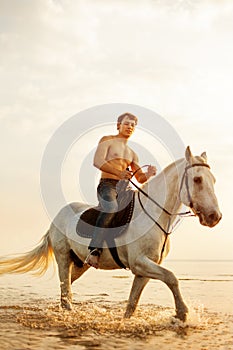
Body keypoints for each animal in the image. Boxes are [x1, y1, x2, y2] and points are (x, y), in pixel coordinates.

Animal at [0, 146, 222, 322]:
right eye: (197, 179)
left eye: (213, 180)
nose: (215, 217)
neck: (152, 215)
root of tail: (56, 218)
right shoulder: (139, 263)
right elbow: (172, 277)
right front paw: (183, 313)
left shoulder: (144, 269)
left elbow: (132, 303)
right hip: (63, 257)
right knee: (66, 293)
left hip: (80, 263)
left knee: (67, 286)